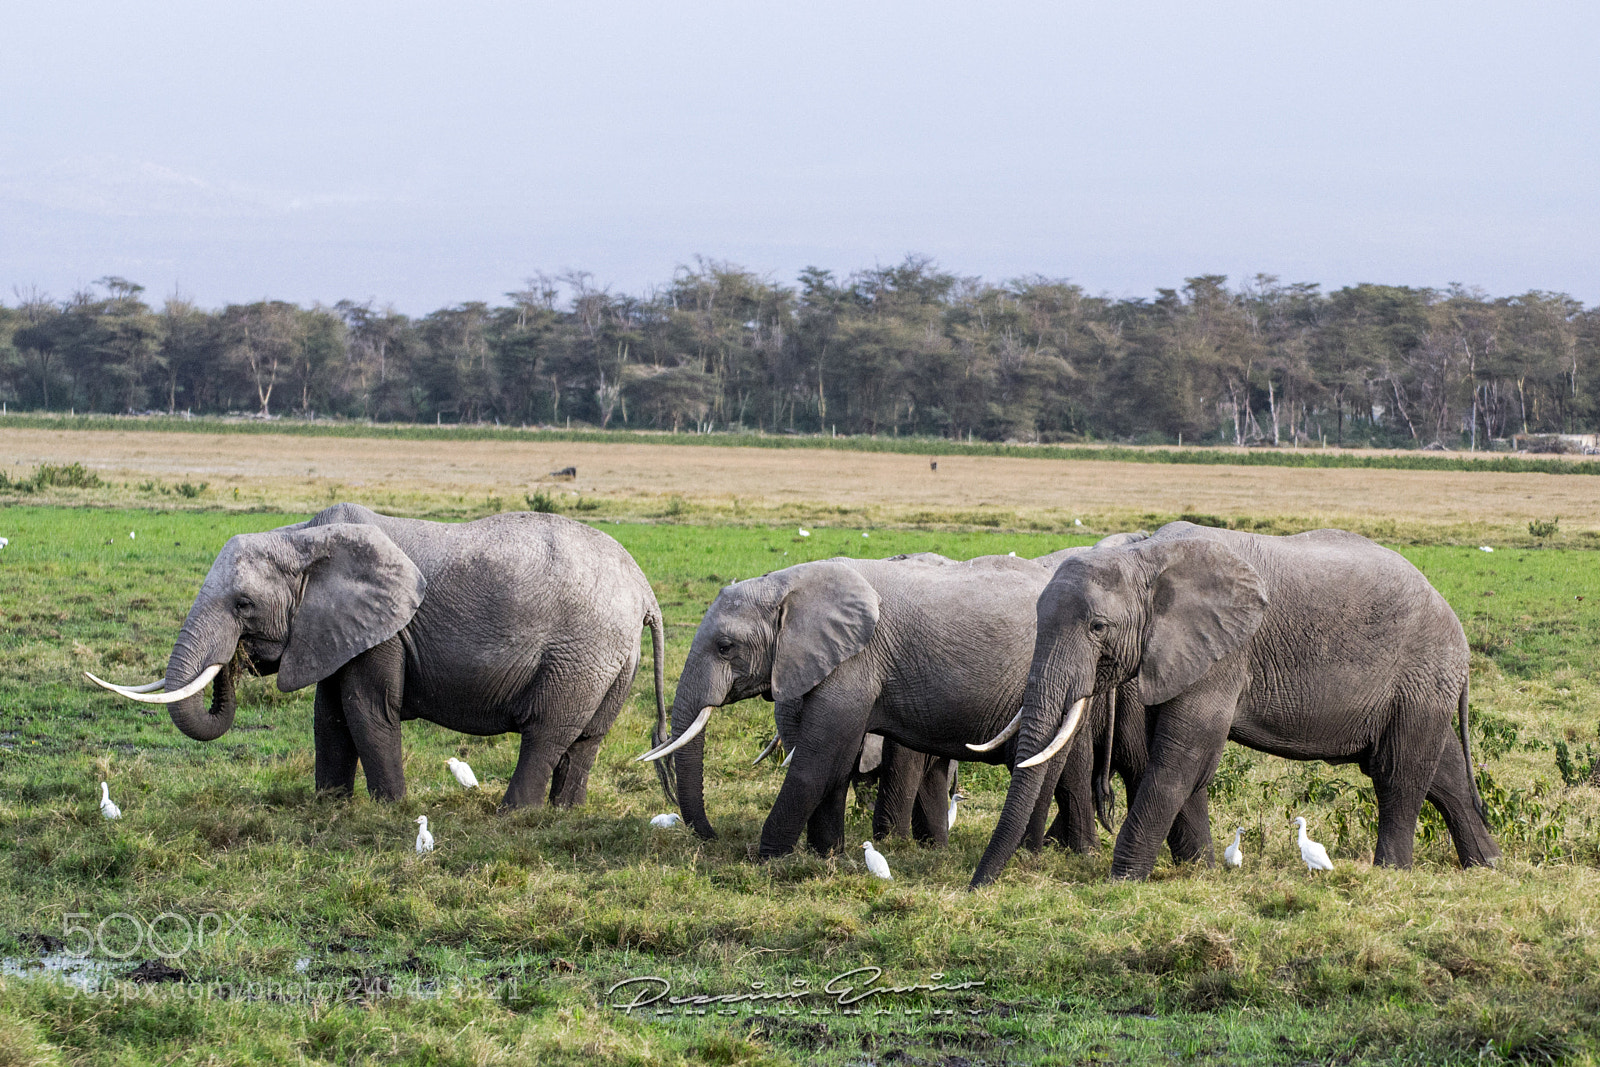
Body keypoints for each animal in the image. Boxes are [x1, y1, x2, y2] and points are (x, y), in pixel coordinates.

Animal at [88, 502, 669, 810]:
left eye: (243, 604)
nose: (236, 660)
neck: (303, 537)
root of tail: (645, 588)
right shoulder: (334, 629)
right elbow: (328, 715)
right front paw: (329, 806)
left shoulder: (386, 631)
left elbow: (365, 711)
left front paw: (391, 810)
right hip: (611, 658)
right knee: (586, 739)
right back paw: (561, 814)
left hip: (582, 652)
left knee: (547, 732)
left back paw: (511, 816)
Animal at [637, 535, 1148, 858]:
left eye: (725, 647)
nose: (710, 837)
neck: (789, 584)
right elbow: (838, 759)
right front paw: (826, 856)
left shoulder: (855, 661)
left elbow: (819, 758)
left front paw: (768, 858)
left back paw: (1042, 853)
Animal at [969, 521, 1501, 887]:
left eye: (1098, 628)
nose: (978, 887)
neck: (1143, 556)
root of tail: (1457, 629)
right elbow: (1183, 761)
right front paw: (1200, 869)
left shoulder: (1225, 652)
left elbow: (1183, 754)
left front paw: (1123, 881)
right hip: (1421, 685)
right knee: (1444, 772)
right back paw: (1488, 866)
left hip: (1421, 672)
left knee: (1399, 772)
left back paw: (1391, 873)